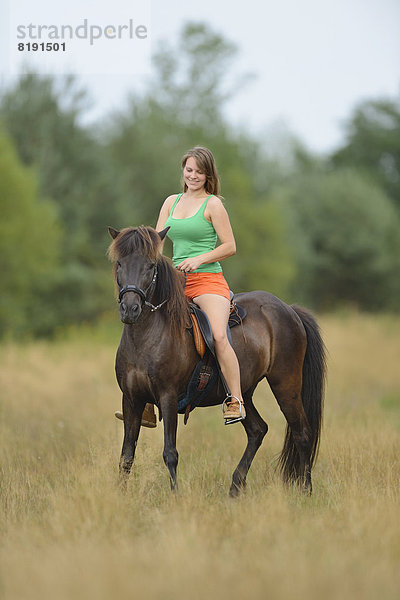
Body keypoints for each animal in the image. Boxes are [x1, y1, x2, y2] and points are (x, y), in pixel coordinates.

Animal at [108, 225, 326, 496]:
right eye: (119, 263)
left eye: (150, 266)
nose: (130, 309)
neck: (147, 336)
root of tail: (289, 309)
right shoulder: (131, 399)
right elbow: (126, 454)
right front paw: (120, 496)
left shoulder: (168, 397)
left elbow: (170, 453)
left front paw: (175, 497)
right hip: (242, 392)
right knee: (258, 430)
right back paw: (235, 487)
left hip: (286, 386)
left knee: (302, 433)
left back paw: (306, 491)